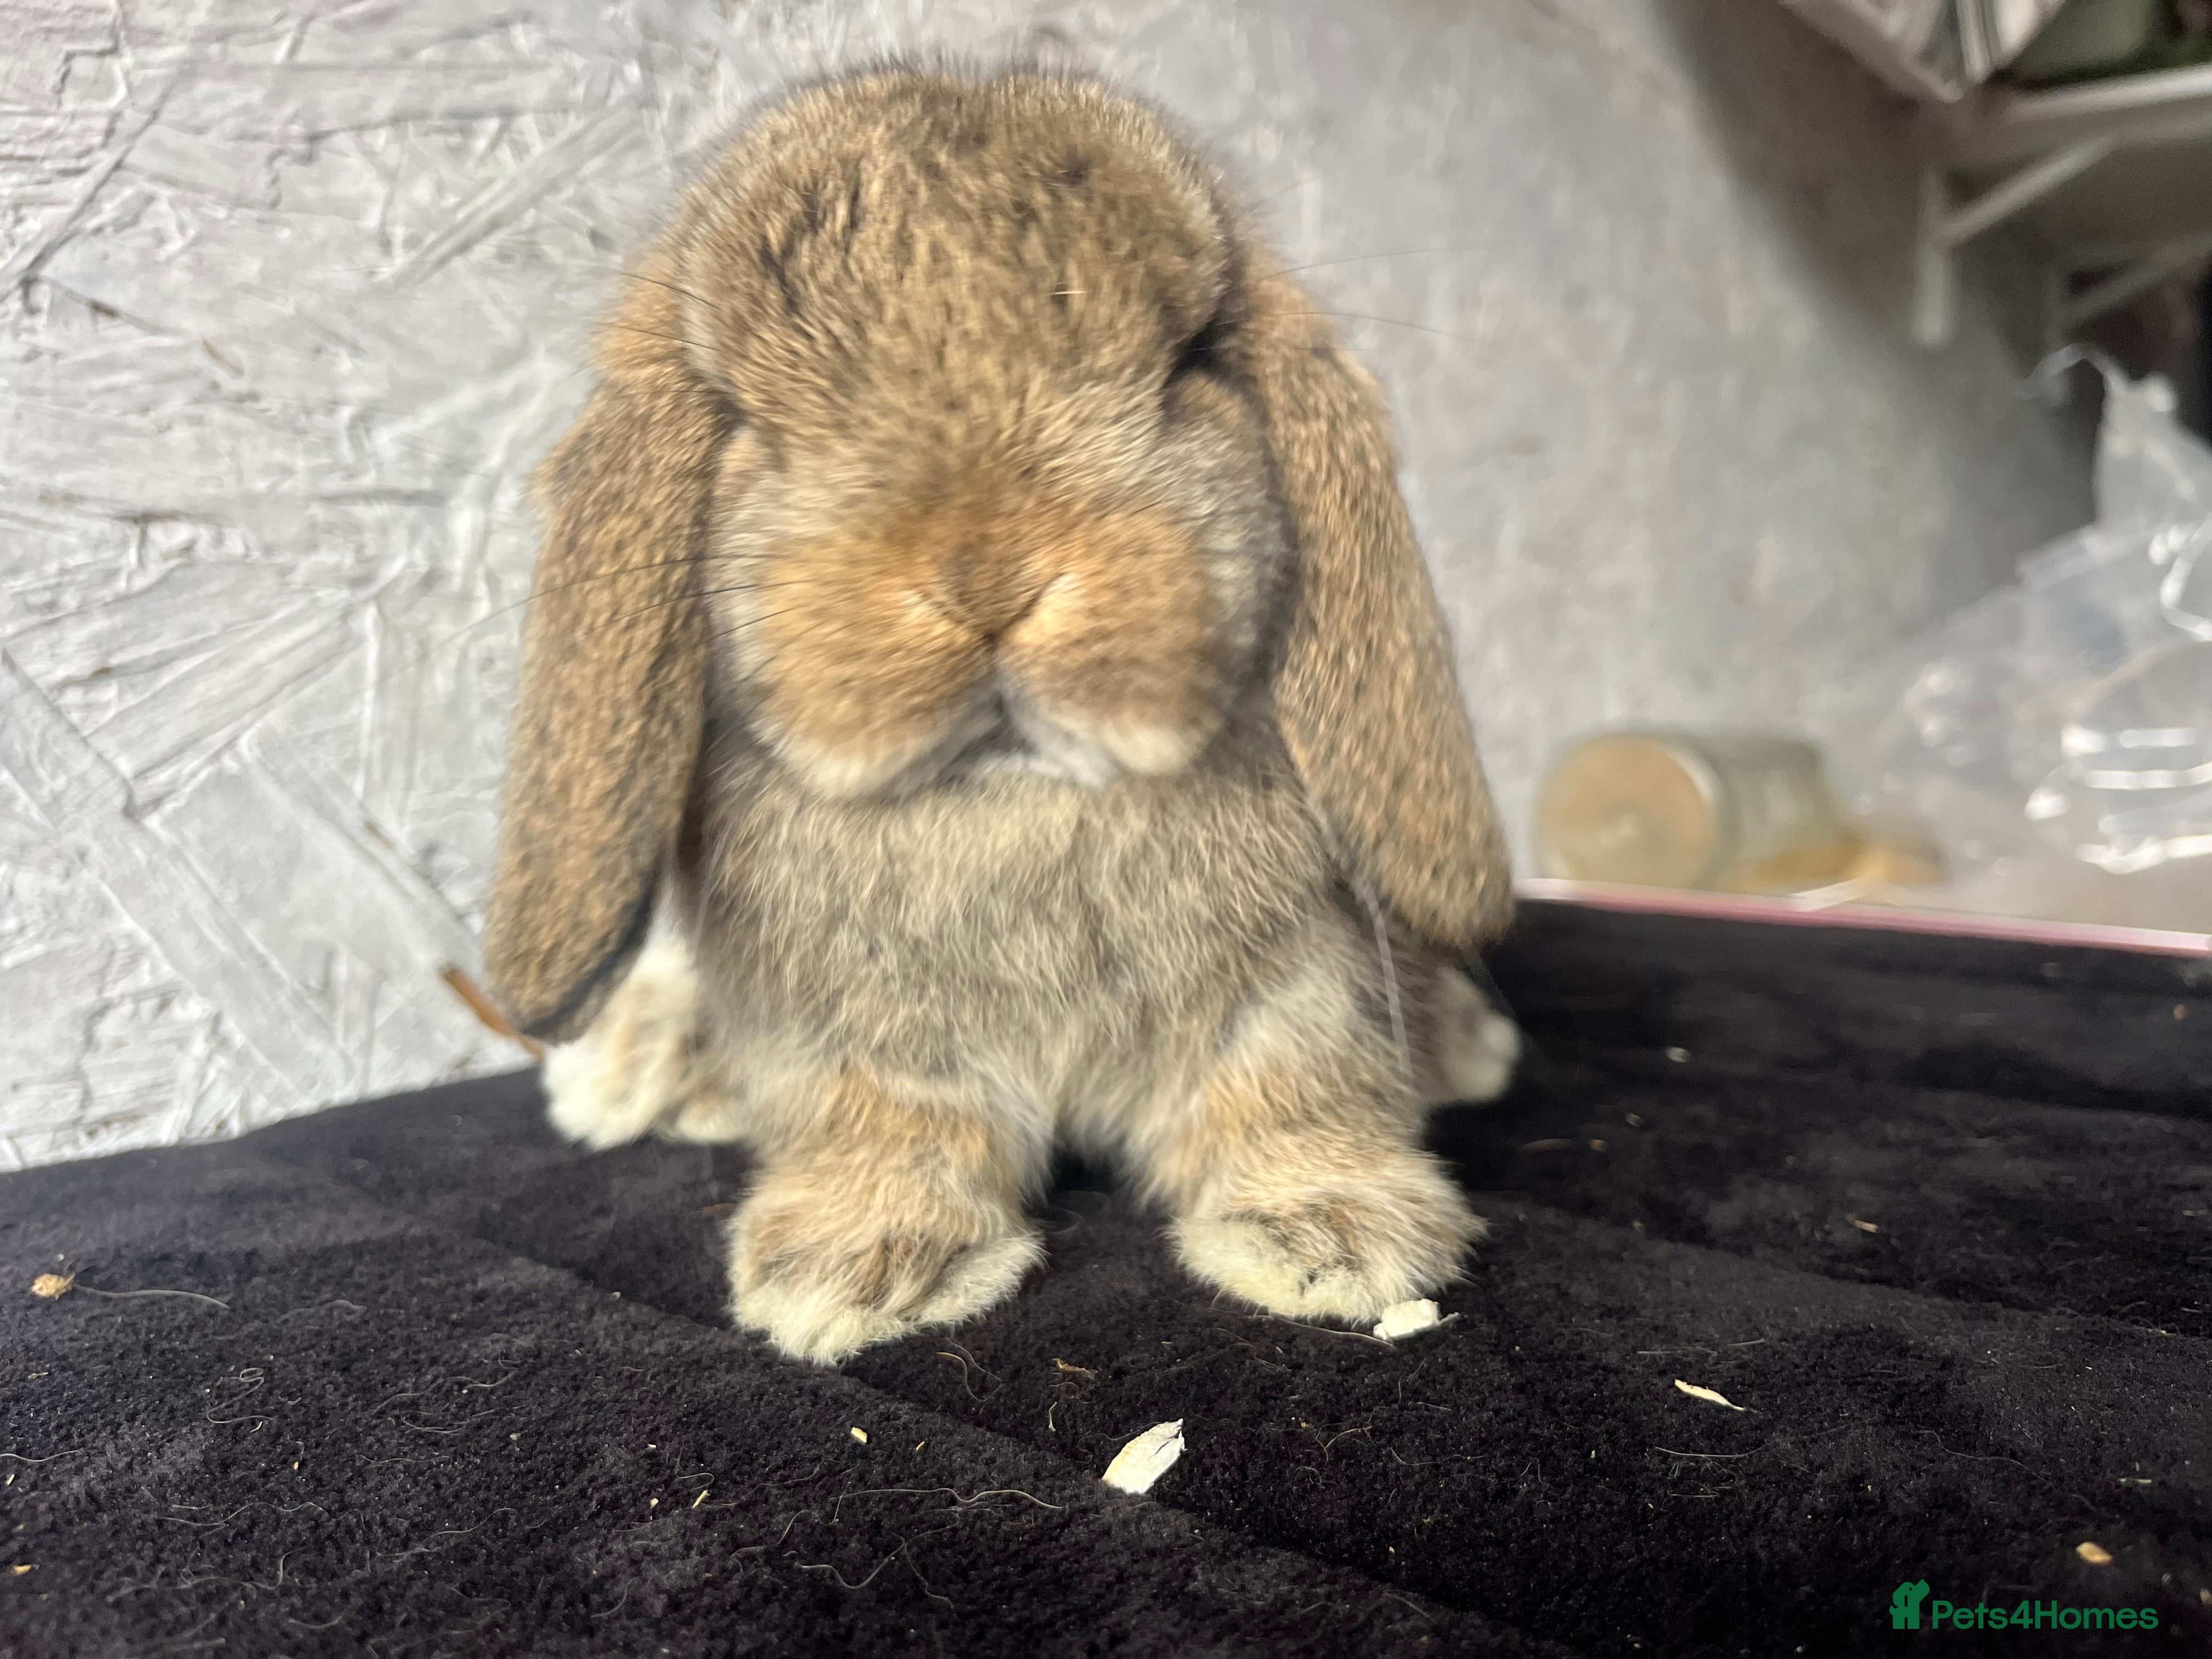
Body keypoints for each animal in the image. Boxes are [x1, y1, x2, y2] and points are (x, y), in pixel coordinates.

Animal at [482, 64, 1521, 1365]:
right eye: (748, 420)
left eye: (1190, 364)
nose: (989, 576)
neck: (1016, 791)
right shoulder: (856, 1033)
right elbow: (888, 1128)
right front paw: (859, 1269)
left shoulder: (1296, 984)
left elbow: (1286, 1090)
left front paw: (1333, 1237)